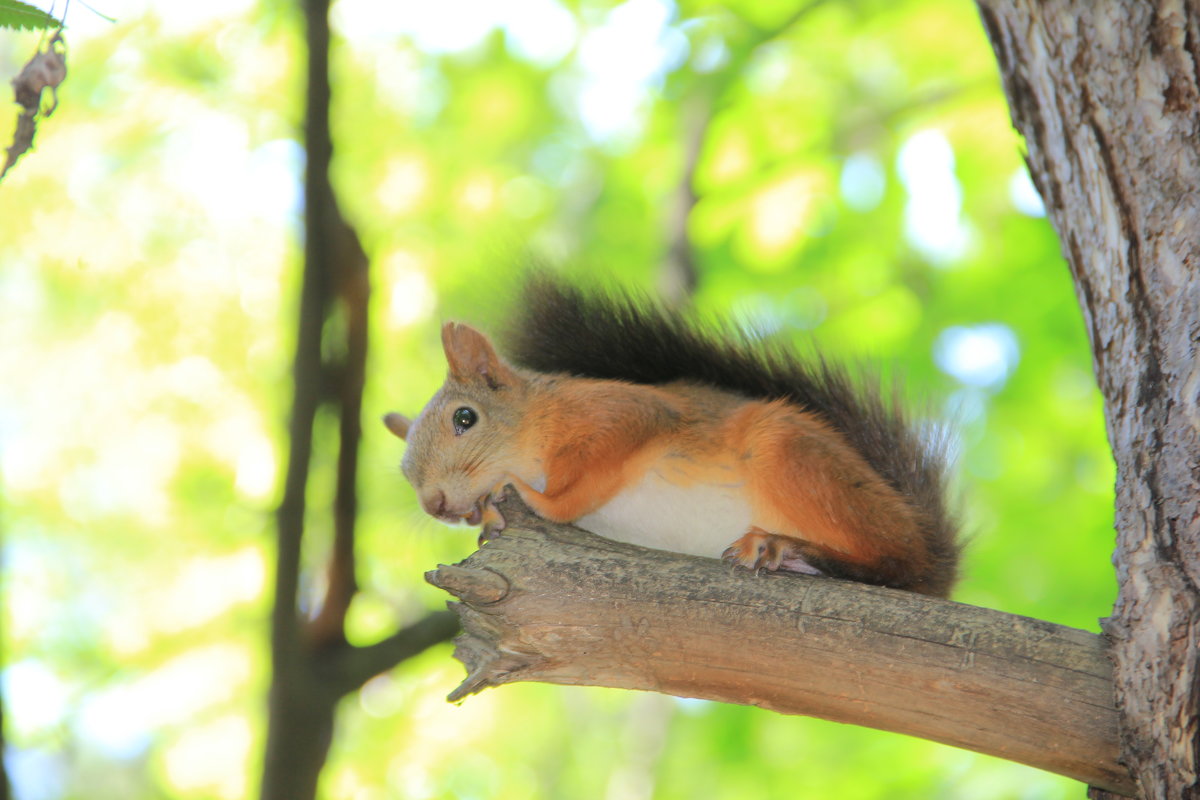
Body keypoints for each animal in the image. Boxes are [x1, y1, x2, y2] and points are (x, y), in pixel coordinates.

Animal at [388, 275, 960, 594]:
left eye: (465, 419)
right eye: (404, 472)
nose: (435, 505)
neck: (535, 422)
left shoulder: (627, 413)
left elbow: (582, 486)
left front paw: (530, 497)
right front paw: (485, 518)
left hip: (787, 451)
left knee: (897, 566)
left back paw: (790, 549)